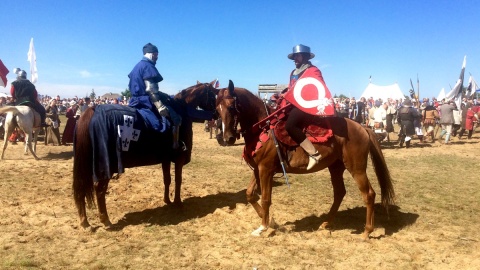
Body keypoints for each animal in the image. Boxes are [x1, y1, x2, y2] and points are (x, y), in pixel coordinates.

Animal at [216, 80, 396, 238]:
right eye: (217, 109)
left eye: (231, 106)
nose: (227, 138)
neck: (263, 128)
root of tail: (362, 127)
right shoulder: (258, 169)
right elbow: (249, 194)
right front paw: (270, 222)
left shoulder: (266, 170)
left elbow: (266, 199)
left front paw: (264, 227)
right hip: (336, 167)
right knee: (339, 193)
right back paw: (326, 223)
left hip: (357, 169)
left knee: (369, 194)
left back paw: (367, 231)